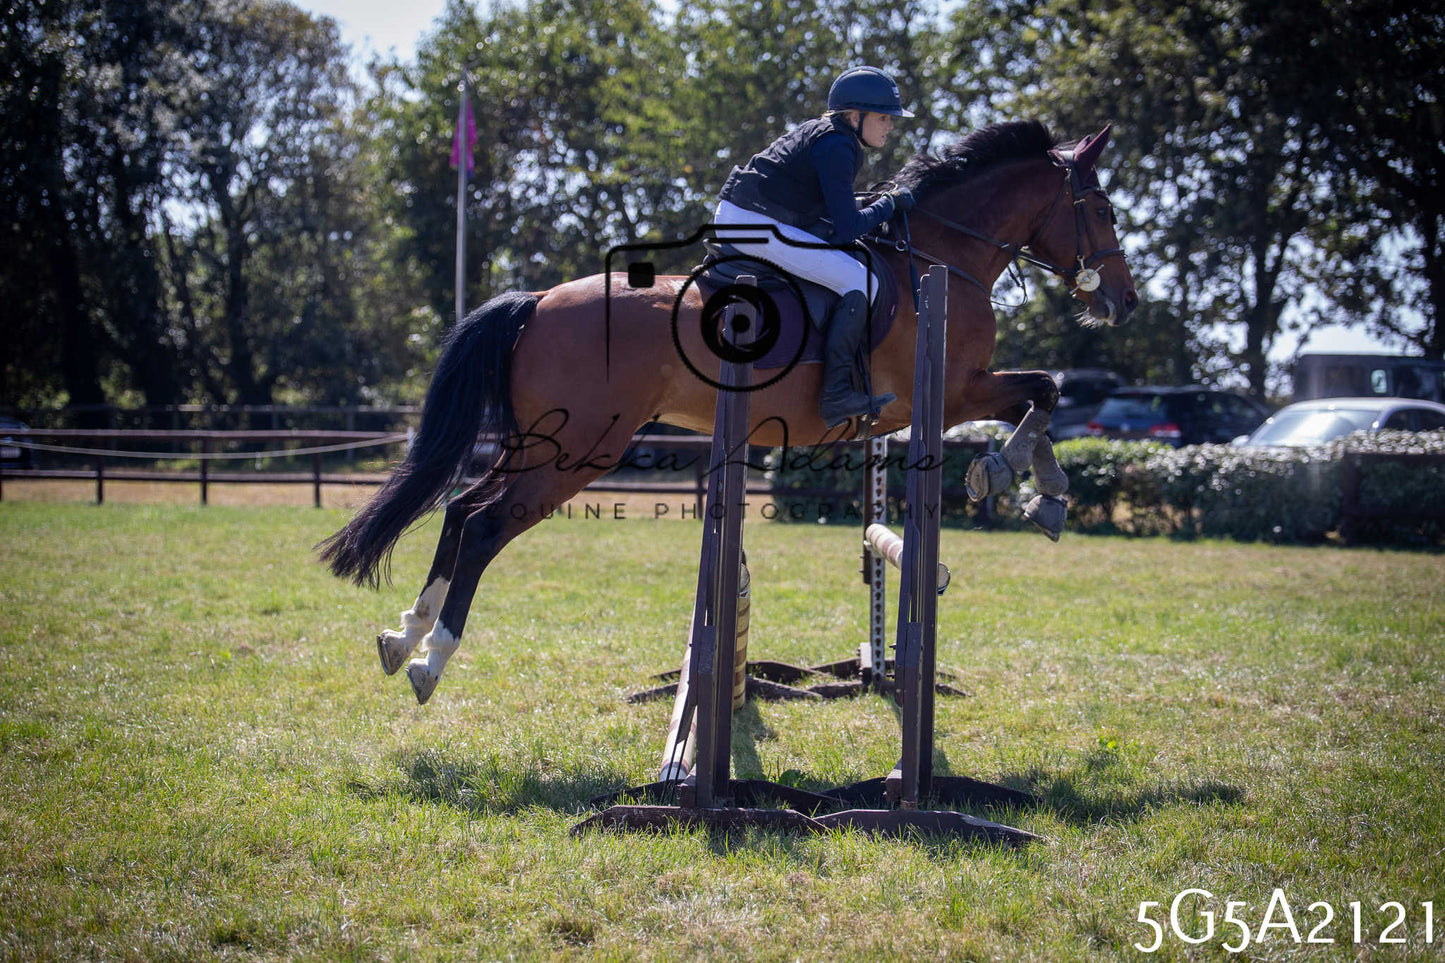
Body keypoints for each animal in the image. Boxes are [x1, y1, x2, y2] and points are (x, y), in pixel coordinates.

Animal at [318, 119, 1138, 705]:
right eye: (1100, 208)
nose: (1125, 302)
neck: (943, 258)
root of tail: (539, 300)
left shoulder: (947, 397)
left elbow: (1041, 393)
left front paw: (1040, 491)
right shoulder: (955, 390)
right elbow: (1044, 389)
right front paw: (1016, 478)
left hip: (540, 443)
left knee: (460, 510)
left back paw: (403, 637)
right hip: (580, 448)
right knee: (487, 525)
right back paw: (432, 660)